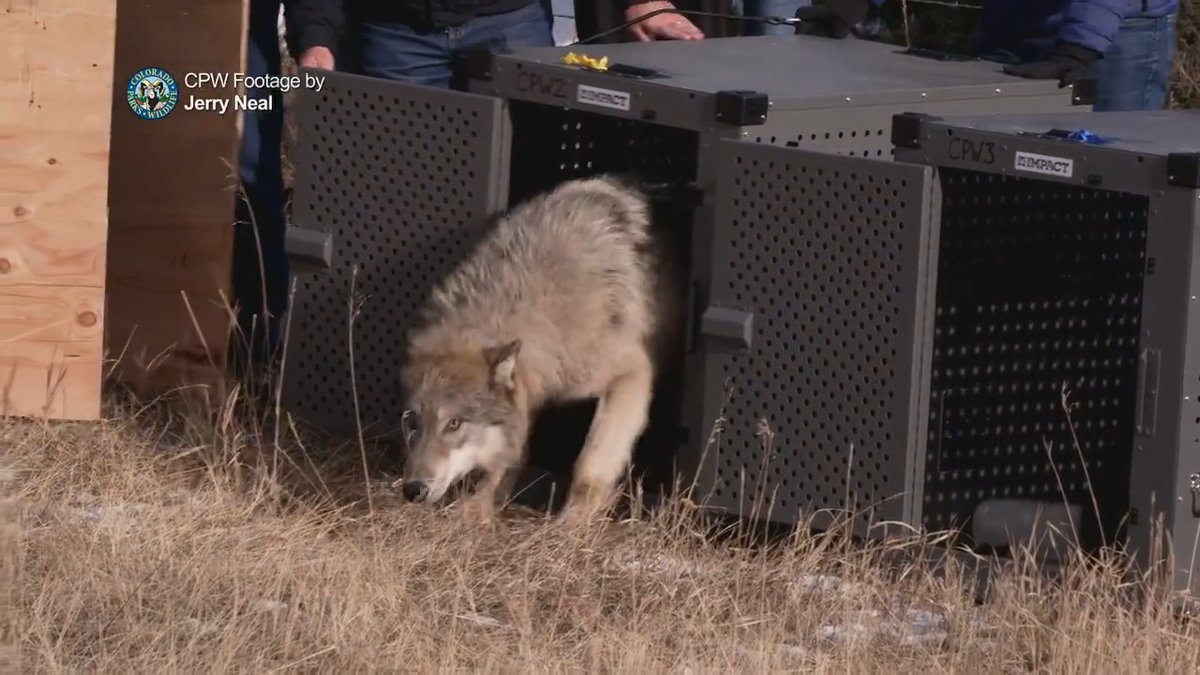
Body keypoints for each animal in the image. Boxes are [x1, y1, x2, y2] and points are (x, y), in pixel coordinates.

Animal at [396, 174, 683, 524]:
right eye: (413, 422)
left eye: (454, 424)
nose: (412, 490)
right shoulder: (528, 390)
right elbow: (512, 455)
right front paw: (481, 506)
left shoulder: (631, 374)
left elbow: (589, 468)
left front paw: (571, 524)